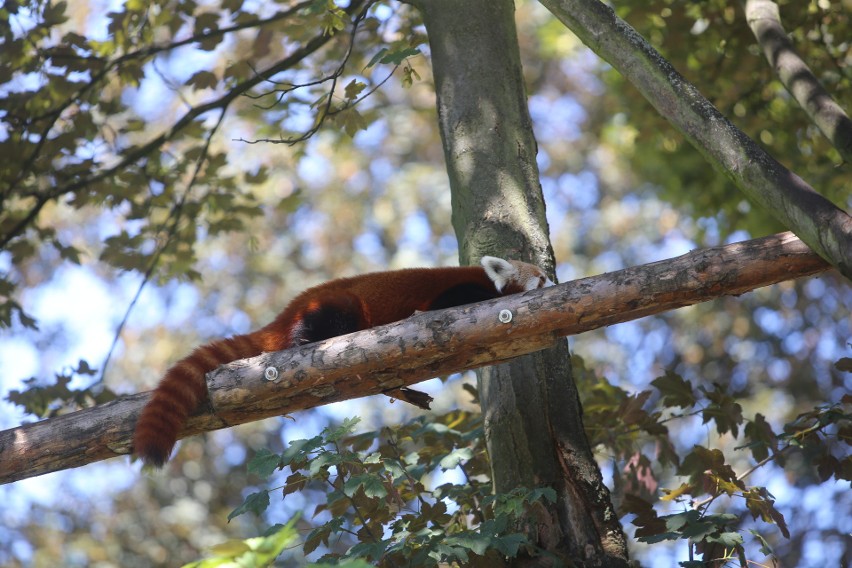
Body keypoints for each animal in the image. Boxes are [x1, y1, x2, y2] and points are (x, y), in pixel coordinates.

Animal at [130, 256, 548, 466]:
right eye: (541, 278)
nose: (552, 277)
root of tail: (293, 305)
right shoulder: (455, 293)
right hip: (339, 305)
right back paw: (307, 338)